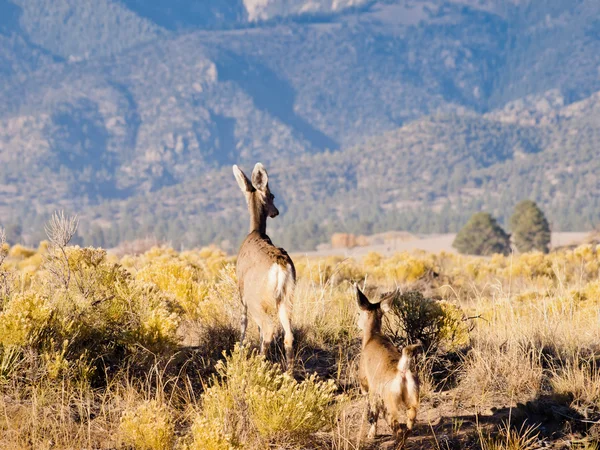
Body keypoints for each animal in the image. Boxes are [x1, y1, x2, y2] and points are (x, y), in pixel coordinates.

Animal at [232, 162, 296, 370]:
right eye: (273, 195)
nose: (276, 212)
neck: (255, 232)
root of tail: (280, 266)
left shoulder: (241, 290)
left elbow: (243, 322)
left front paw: (239, 349)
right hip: (286, 297)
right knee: (288, 334)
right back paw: (288, 373)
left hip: (257, 299)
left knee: (268, 329)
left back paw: (260, 366)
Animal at [356, 286, 422, 448]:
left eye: (359, 312)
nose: (356, 322)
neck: (372, 336)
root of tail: (402, 371)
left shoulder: (366, 387)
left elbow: (372, 414)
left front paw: (371, 435)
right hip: (413, 402)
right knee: (408, 427)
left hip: (389, 404)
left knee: (398, 429)